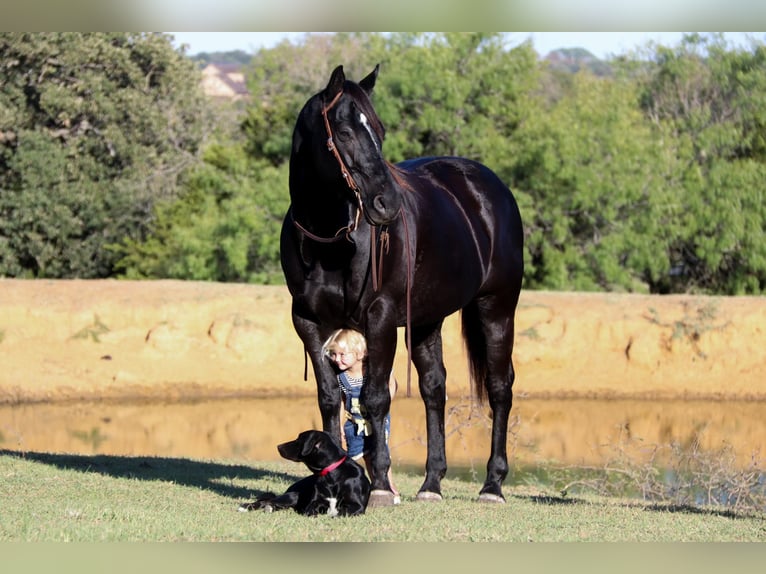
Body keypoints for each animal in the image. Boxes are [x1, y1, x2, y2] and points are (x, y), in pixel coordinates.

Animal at [240, 432, 372, 516]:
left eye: (299, 440)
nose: (278, 446)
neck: (332, 474)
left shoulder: (357, 506)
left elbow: (340, 512)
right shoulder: (314, 503)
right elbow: (310, 511)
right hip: (292, 496)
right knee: (266, 501)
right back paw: (246, 507)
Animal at [282, 62, 528, 504]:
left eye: (379, 129)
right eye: (344, 131)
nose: (387, 204)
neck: (328, 242)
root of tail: (490, 188)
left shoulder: (380, 319)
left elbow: (375, 397)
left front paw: (379, 483)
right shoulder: (308, 323)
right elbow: (329, 397)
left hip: (497, 308)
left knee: (501, 387)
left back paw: (492, 485)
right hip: (428, 319)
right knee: (434, 387)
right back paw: (432, 483)